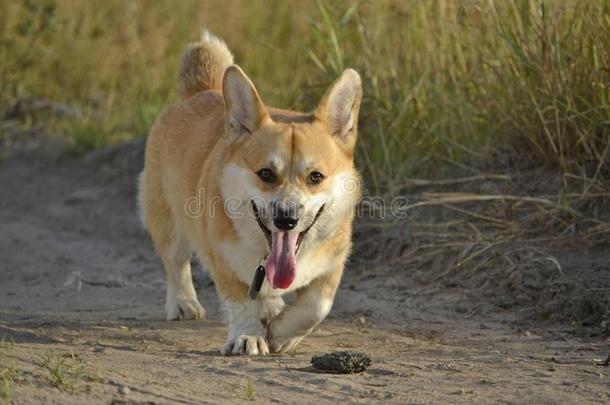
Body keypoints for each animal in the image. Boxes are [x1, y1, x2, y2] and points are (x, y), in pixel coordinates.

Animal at [138, 31, 360, 354]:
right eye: (265, 174)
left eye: (316, 177)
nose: (286, 219)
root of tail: (200, 91)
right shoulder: (222, 260)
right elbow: (240, 301)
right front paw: (248, 336)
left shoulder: (333, 261)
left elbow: (317, 306)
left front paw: (282, 333)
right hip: (167, 220)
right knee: (176, 263)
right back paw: (183, 303)